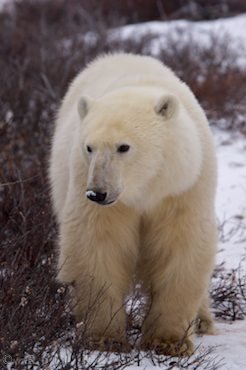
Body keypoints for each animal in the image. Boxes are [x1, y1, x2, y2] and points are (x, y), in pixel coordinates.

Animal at [49, 52, 216, 356]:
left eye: (123, 147)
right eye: (89, 147)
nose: (97, 193)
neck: (145, 190)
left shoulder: (183, 188)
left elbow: (181, 249)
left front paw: (169, 341)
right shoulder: (91, 187)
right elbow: (99, 247)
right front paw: (104, 338)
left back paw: (202, 320)